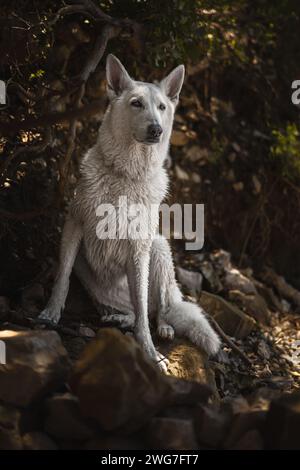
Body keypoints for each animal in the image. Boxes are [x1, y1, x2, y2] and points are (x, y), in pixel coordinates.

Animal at [39, 55, 220, 370]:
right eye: (136, 103)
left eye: (161, 107)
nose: (156, 129)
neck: (126, 175)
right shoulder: (74, 223)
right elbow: (62, 276)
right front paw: (51, 312)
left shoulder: (139, 248)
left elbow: (144, 315)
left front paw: (149, 352)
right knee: (137, 310)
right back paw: (119, 317)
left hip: (158, 249)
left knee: (157, 310)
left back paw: (162, 328)